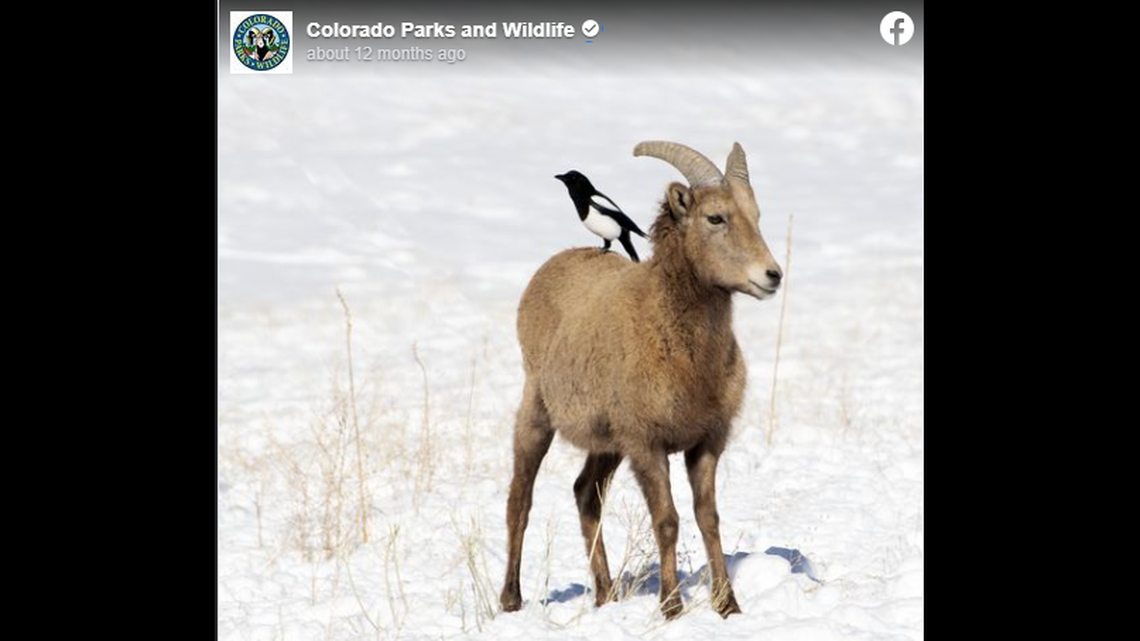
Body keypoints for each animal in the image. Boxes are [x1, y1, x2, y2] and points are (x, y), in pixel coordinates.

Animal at [499, 141, 784, 619]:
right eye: (716, 218)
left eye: (757, 215)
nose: (772, 276)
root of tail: (552, 265)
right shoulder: (646, 445)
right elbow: (667, 520)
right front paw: (672, 607)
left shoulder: (705, 443)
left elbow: (708, 518)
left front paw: (728, 606)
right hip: (538, 413)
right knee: (521, 498)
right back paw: (510, 599)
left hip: (607, 445)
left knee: (586, 494)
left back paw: (605, 595)